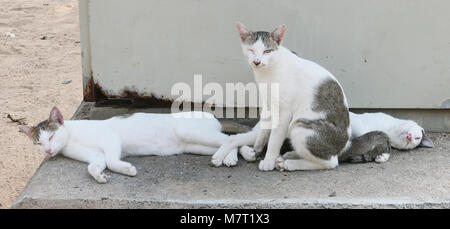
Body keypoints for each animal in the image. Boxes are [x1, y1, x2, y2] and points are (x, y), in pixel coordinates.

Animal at [19, 106, 251, 183]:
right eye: (38, 143)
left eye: (51, 137)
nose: (48, 150)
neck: (71, 141)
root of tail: (211, 115)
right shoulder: (96, 157)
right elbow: (93, 166)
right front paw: (100, 175)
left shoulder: (111, 139)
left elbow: (113, 160)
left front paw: (126, 169)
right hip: (196, 145)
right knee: (231, 140)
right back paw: (235, 155)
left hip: (192, 132)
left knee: (230, 138)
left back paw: (233, 155)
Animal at [211, 23, 390, 171]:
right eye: (251, 50)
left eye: (267, 51)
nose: (257, 61)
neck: (268, 72)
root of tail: (345, 145)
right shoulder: (269, 105)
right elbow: (264, 130)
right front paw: (256, 148)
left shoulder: (284, 112)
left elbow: (274, 139)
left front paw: (268, 160)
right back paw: (290, 155)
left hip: (300, 126)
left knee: (330, 162)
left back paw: (289, 163)